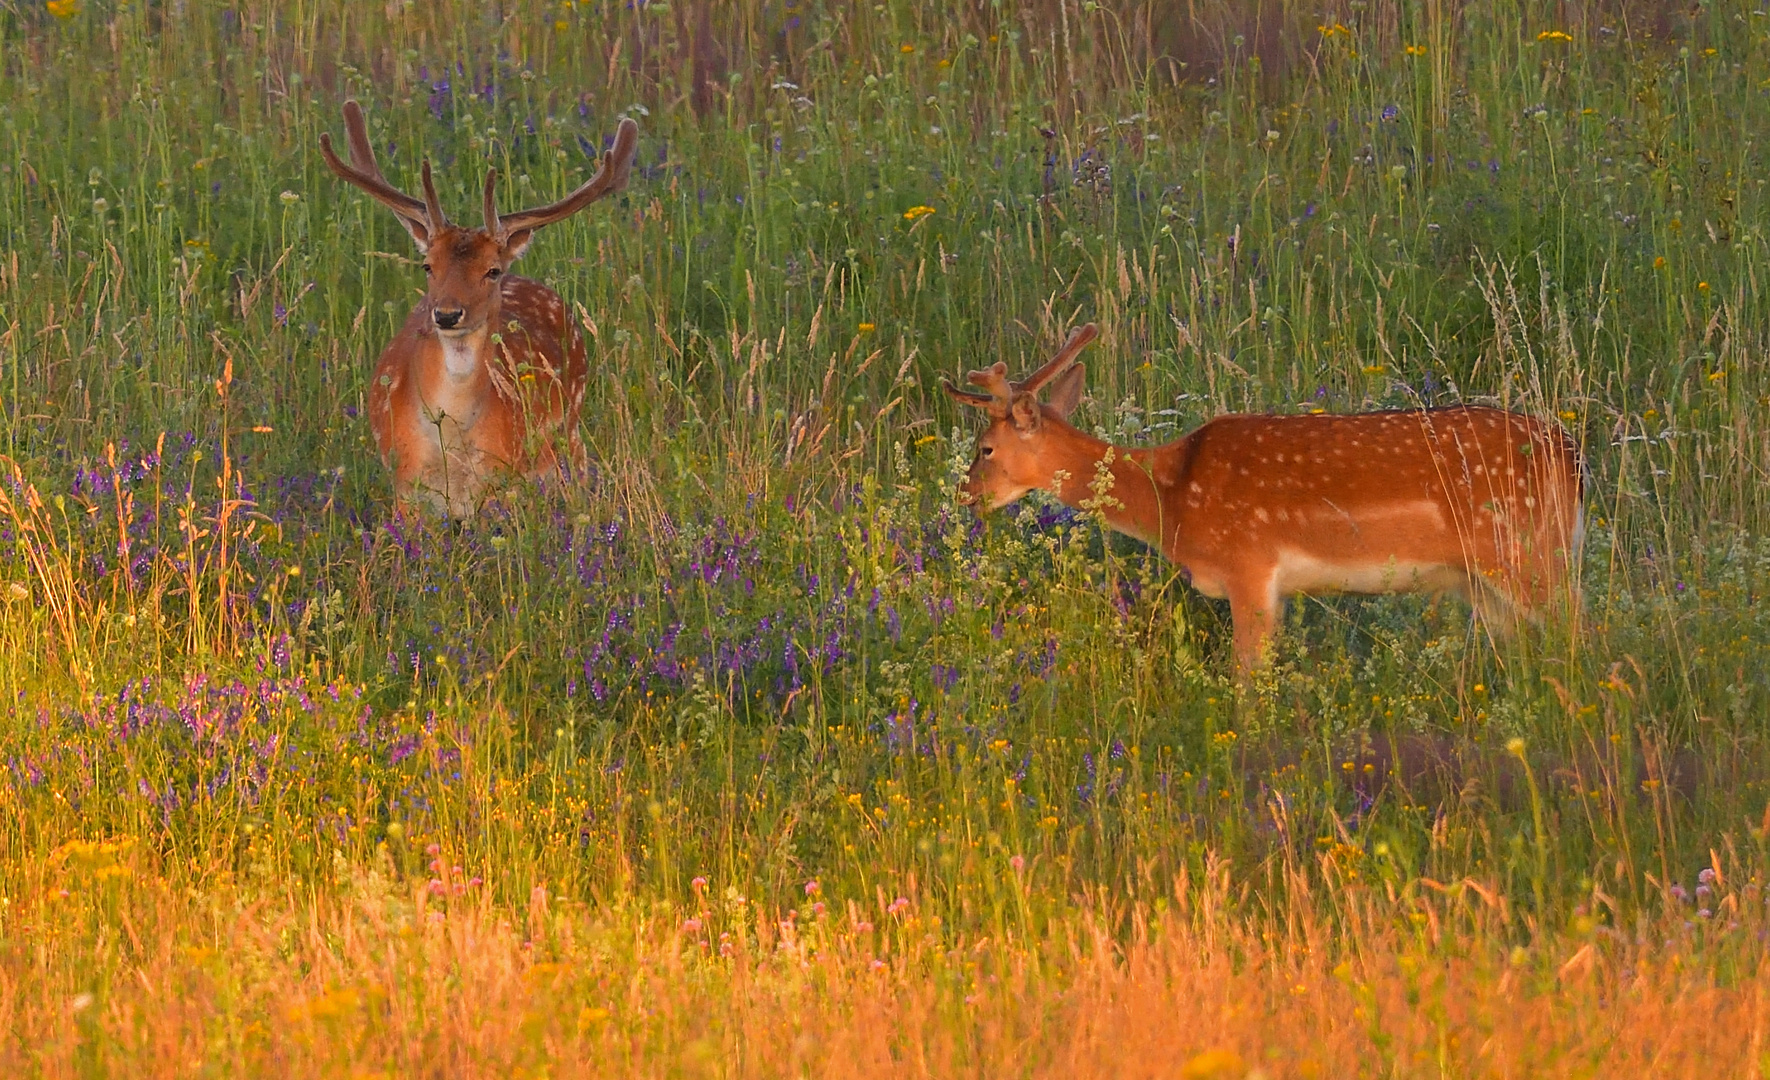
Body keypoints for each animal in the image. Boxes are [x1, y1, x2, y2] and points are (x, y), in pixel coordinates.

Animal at [322, 101, 640, 516]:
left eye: (492, 270)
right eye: (428, 265)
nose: (446, 314)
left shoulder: (499, 484)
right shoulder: (404, 487)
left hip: (571, 440)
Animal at [948, 322, 1585, 672]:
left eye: (984, 447)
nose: (964, 495)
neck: (1172, 497)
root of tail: (1573, 456)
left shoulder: (1249, 565)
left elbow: (1246, 686)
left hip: (1530, 552)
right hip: (1487, 583)